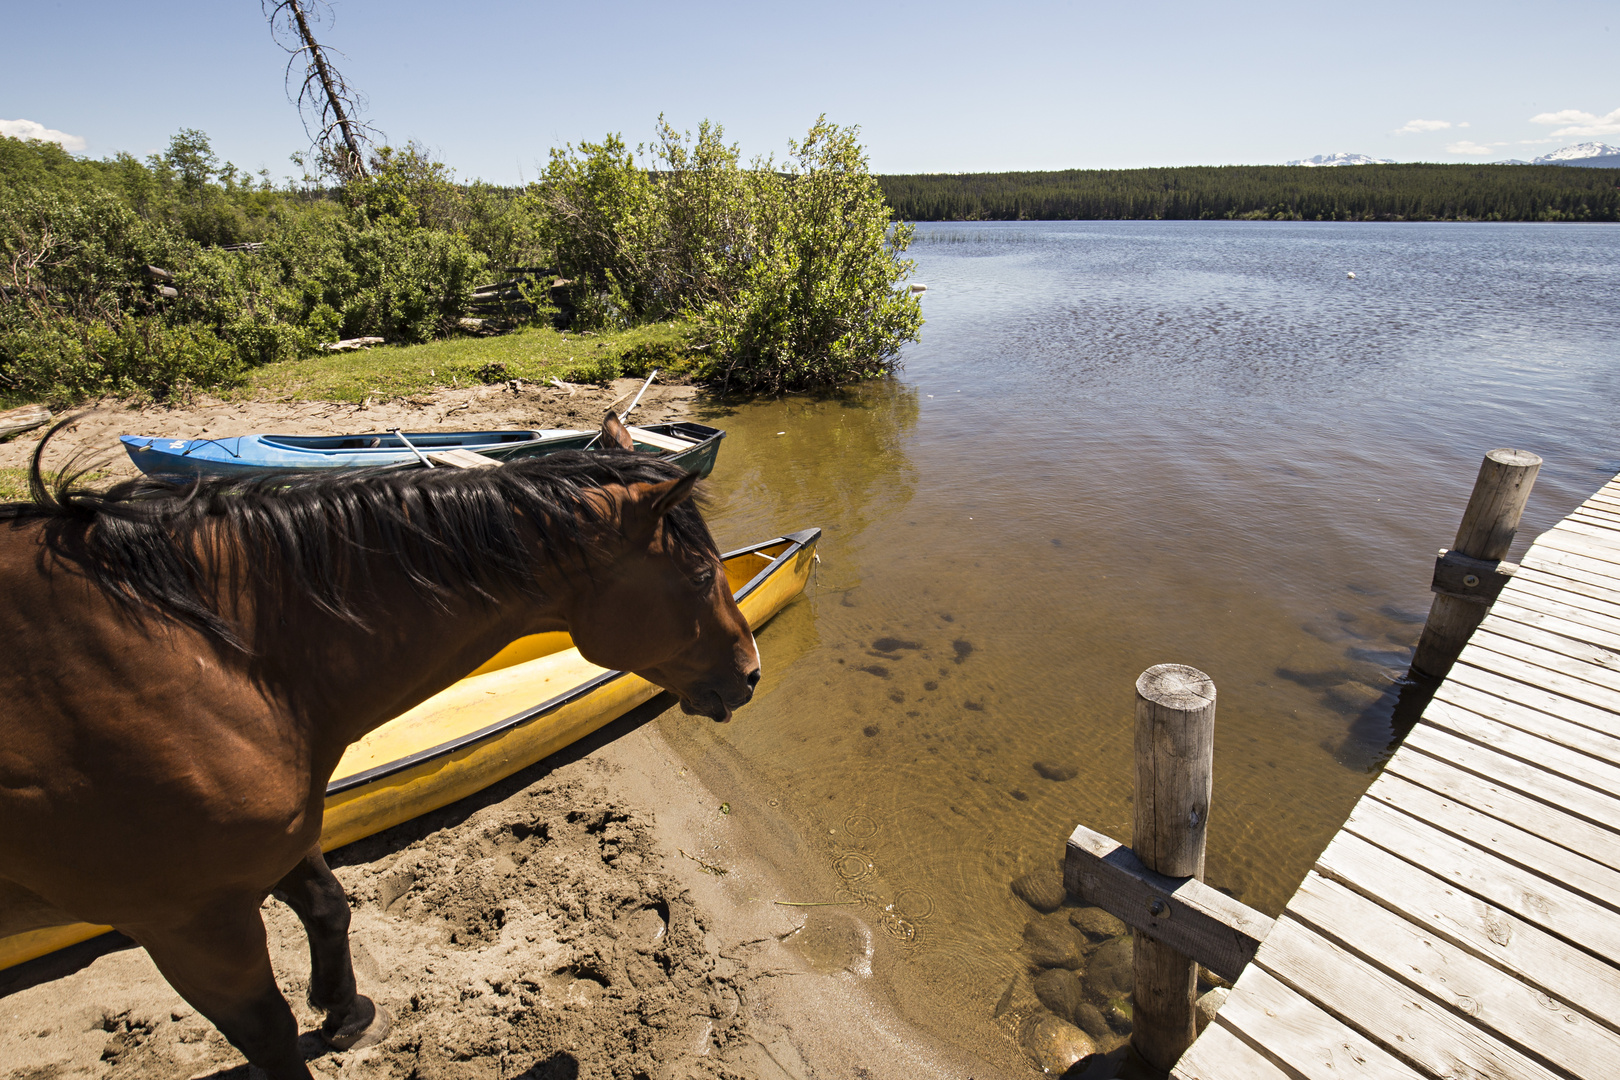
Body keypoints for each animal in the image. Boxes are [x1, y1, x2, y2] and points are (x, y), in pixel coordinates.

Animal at [0, 417, 758, 1080]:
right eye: (699, 576)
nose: (751, 673)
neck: (220, 653)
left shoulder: (280, 841)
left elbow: (330, 906)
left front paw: (347, 1014)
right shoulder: (191, 920)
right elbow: (268, 1034)